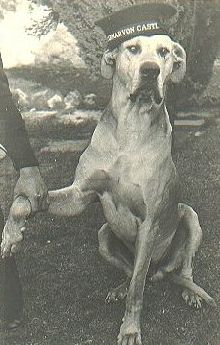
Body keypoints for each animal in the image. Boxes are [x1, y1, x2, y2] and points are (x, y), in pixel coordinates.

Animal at [1, 33, 215, 342]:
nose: (150, 71)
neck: (130, 131)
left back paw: (191, 293)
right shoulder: (79, 195)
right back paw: (119, 288)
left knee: (175, 270)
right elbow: (23, 201)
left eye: (164, 52)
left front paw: (130, 329)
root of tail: (159, 271)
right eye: (132, 48)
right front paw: (11, 235)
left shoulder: (149, 222)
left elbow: (138, 289)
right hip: (103, 235)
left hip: (189, 218)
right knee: (131, 272)